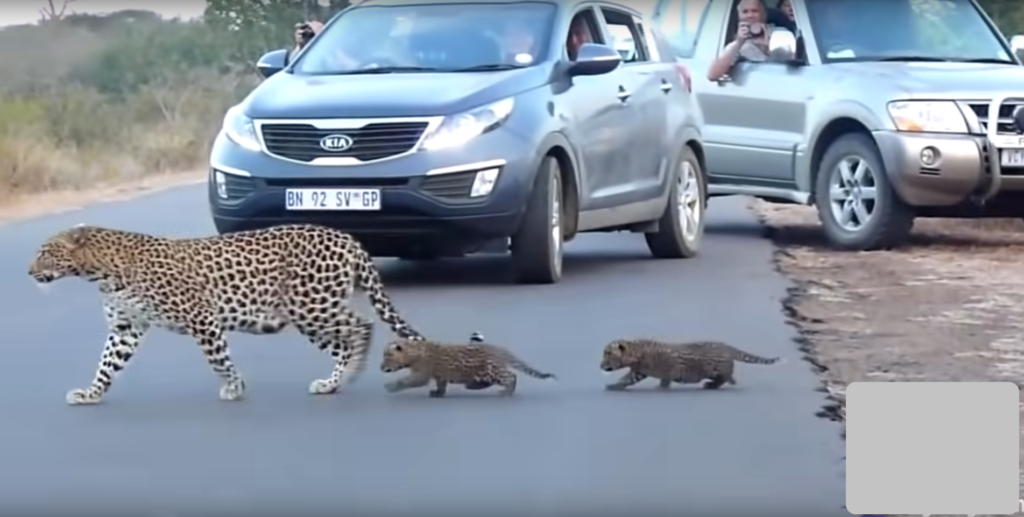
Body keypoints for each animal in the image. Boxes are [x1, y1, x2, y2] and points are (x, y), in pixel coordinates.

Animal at [29, 224, 452, 405]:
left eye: (46, 252)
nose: (30, 272)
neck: (100, 272)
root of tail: (346, 237)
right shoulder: (125, 327)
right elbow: (106, 364)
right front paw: (91, 393)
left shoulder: (201, 318)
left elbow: (219, 359)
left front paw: (234, 387)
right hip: (311, 313)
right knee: (345, 341)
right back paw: (335, 382)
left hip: (311, 307)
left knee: (361, 326)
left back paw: (348, 375)